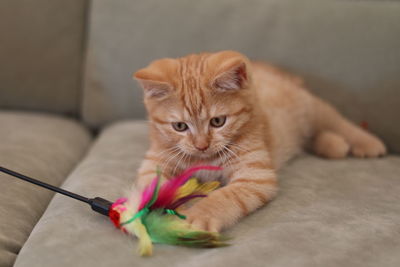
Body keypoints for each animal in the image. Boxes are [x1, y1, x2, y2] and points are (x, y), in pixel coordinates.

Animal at [133, 51, 386, 233]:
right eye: (179, 126)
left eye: (218, 121)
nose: (201, 145)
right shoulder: (154, 160)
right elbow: (155, 185)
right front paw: (177, 203)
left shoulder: (255, 175)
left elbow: (225, 196)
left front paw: (198, 216)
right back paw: (332, 145)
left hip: (311, 108)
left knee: (338, 120)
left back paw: (367, 143)